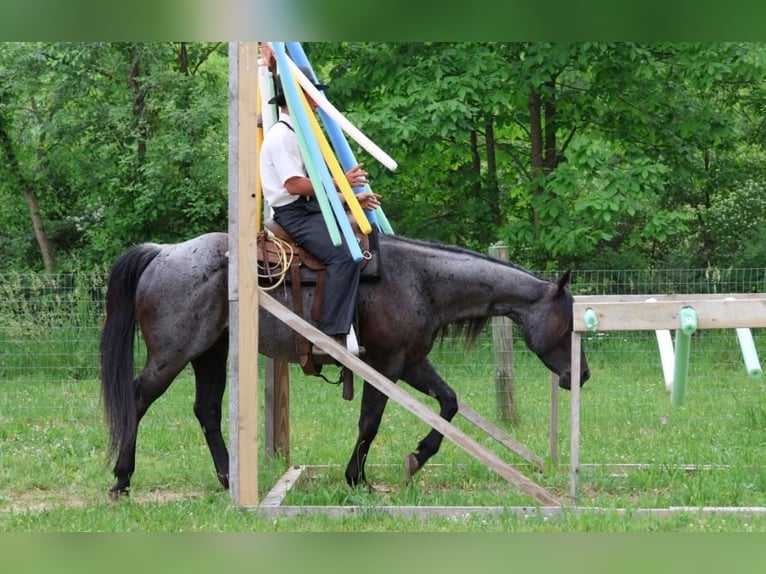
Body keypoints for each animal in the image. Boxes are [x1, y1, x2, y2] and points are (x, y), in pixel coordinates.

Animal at [100, 231, 590, 498]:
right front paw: (358, 478)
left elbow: (449, 403)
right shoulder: (387, 366)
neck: (421, 281)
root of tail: (163, 252)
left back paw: (227, 478)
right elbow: (370, 420)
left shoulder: (412, 363)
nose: (581, 375)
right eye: (567, 323)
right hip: (173, 355)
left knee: (206, 410)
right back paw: (122, 479)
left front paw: (417, 457)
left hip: (210, 353)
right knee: (137, 401)